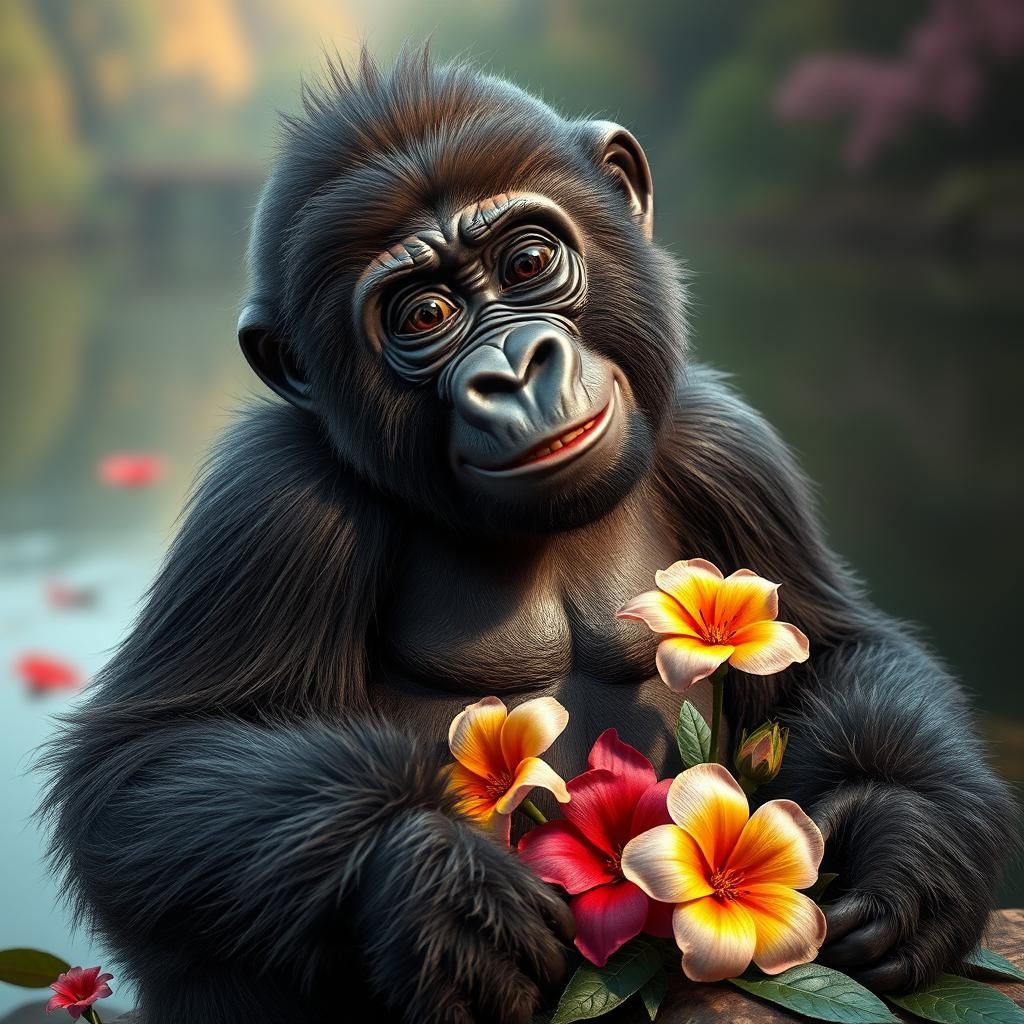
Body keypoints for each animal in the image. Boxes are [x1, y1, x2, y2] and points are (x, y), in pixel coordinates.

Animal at [39, 50, 1014, 1024]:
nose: (512, 370)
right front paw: (434, 887)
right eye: (423, 315)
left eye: (530, 260)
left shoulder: (732, 451)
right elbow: (149, 760)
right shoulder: (272, 505)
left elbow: (838, 647)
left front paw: (908, 841)